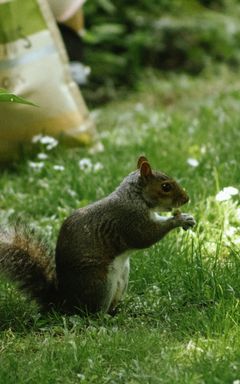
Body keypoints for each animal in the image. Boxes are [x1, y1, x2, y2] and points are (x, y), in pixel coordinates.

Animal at [0, 157, 196, 316]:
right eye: (165, 187)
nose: (186, 198)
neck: (135, 197)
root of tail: (65, 304)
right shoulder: (129, 220)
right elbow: (145, 236)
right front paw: (179, 220)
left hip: (122, 278)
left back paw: (121, 310)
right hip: (99, 282)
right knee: (93, 314)